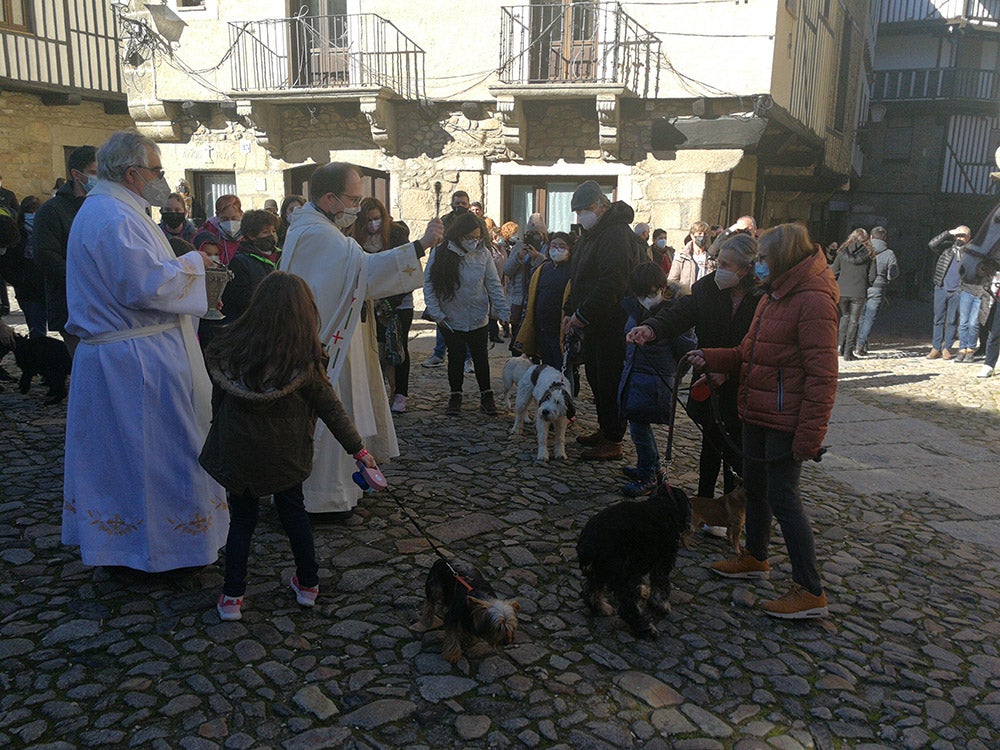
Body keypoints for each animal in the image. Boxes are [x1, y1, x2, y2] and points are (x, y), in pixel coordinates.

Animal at [580, 484, 688, 636]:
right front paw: (661, 605)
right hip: (621, 574)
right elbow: (661, 585)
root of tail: (589, 543)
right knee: (628, 607)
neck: (664, 503)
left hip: (599, 571)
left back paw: (602, 608)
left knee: (591, 592)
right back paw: (647, 629)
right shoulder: (663, 560)